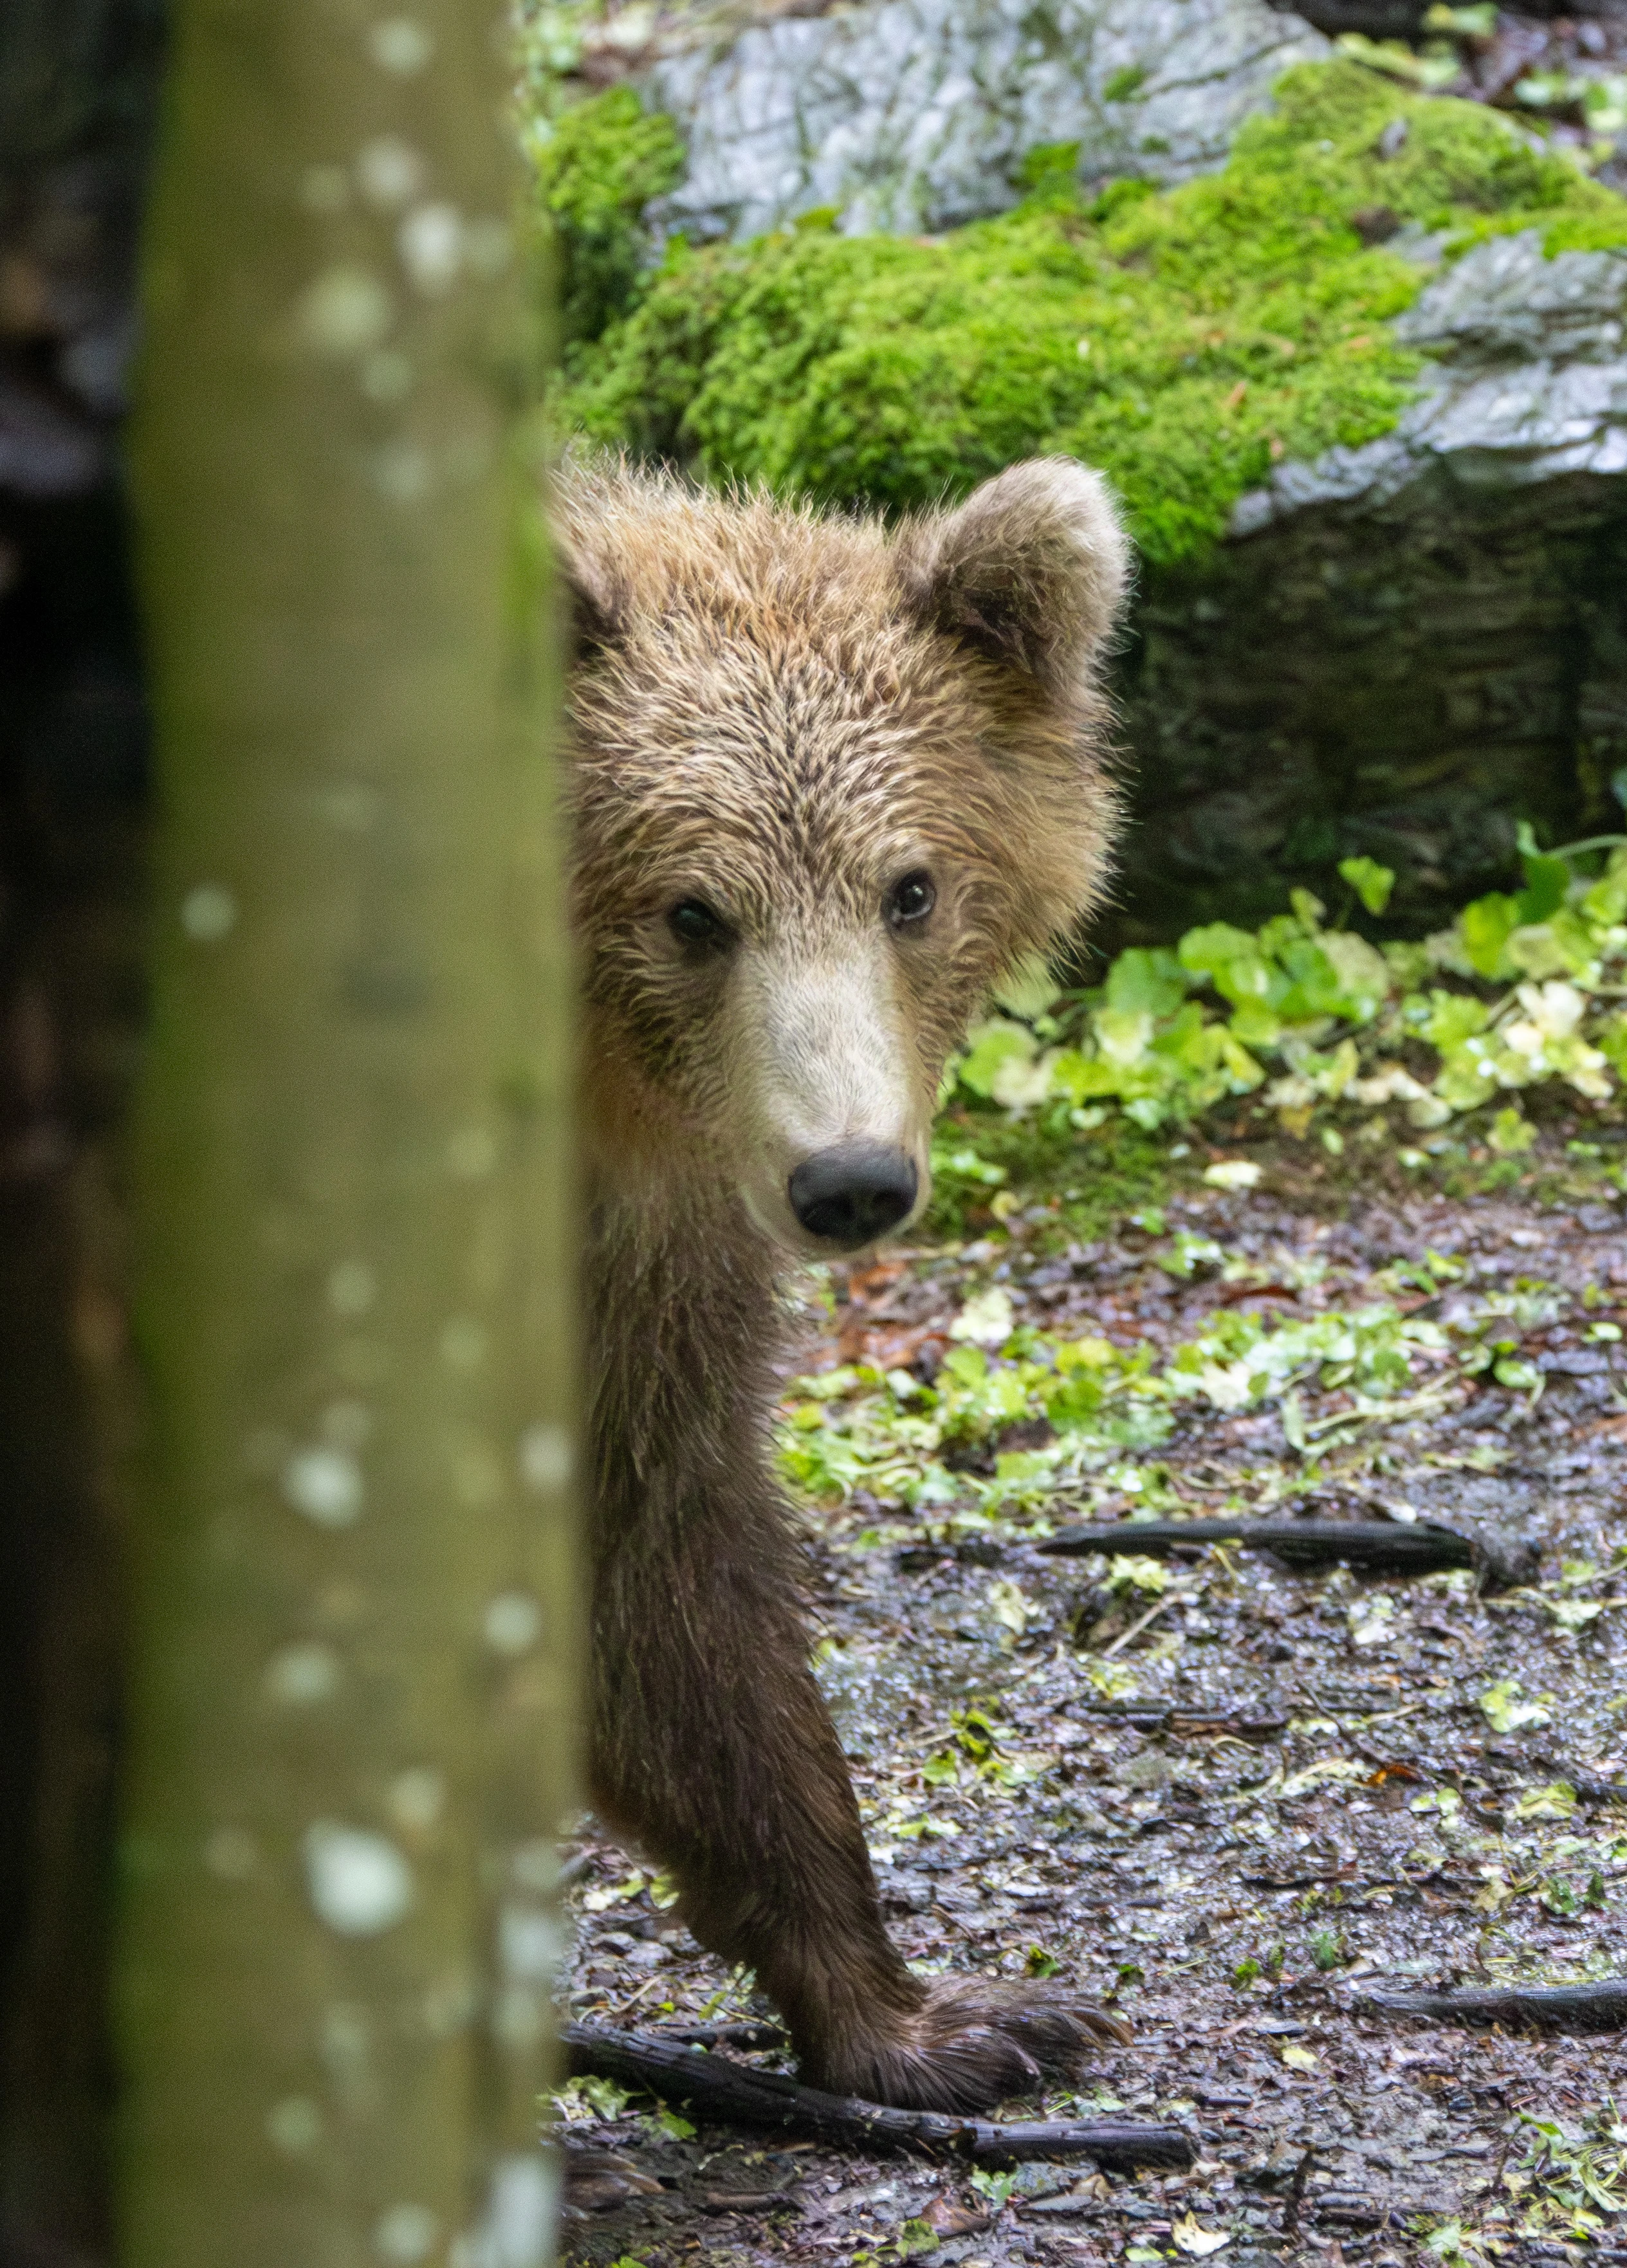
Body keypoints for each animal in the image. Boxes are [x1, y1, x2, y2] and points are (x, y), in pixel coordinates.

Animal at [556, 453, 1133, 2113]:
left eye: (910, 887)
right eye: (691, 908)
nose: (850, 1176)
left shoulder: (641, 1252)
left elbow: (652, 1547)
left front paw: (937, 2015)